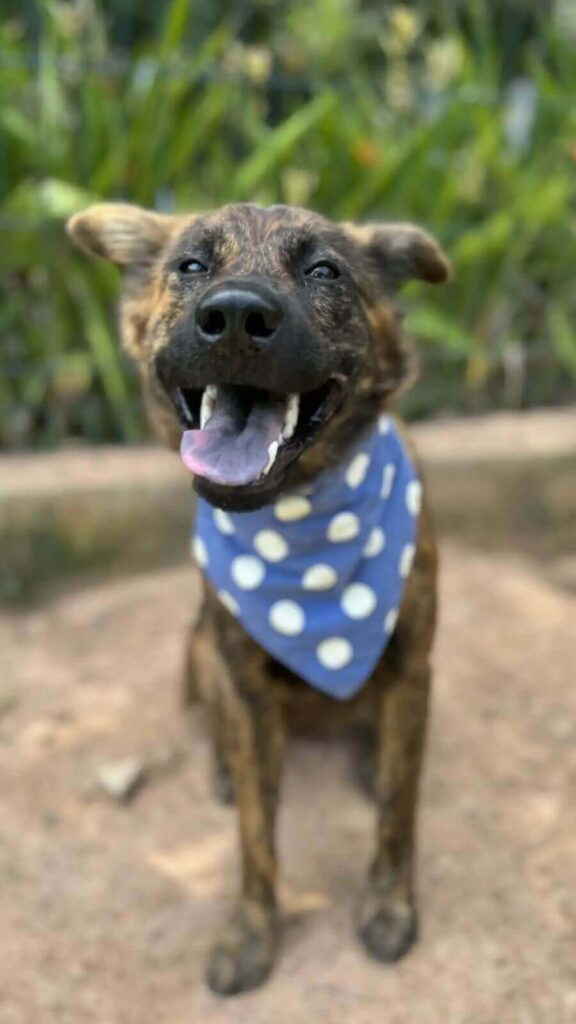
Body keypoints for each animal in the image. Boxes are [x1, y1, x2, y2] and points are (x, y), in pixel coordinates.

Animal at [65, 197, 446, 991]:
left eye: (325, 271)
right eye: (190, 264)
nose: (237, 316)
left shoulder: (412, 666)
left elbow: (400, 811)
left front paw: (390, 908)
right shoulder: (241, 678)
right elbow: (253, 835)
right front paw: (251, 934)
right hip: (200, 648)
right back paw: (222, 768)